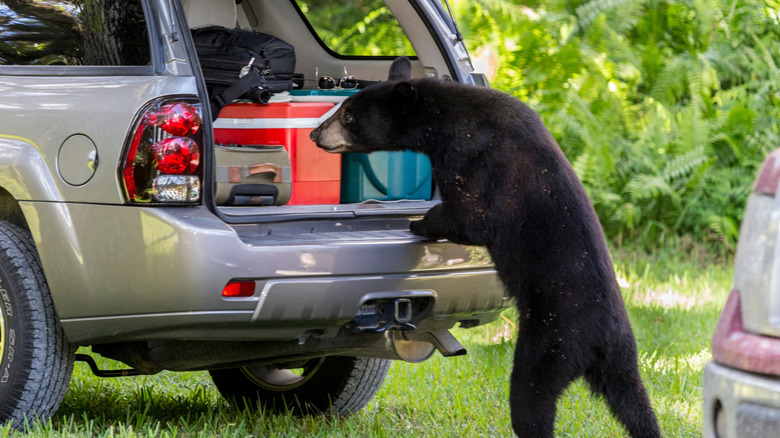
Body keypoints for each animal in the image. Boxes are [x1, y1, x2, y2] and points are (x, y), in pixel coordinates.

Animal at [310, 64, 661, 438]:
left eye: (348, 115)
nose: (315, 134)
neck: (444, 120)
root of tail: (600, 340)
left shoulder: (472, 155)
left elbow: (471, 217)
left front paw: (420, 223)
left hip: (553, 340)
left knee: (530, 396)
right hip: (623, 361)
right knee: (635, 405)